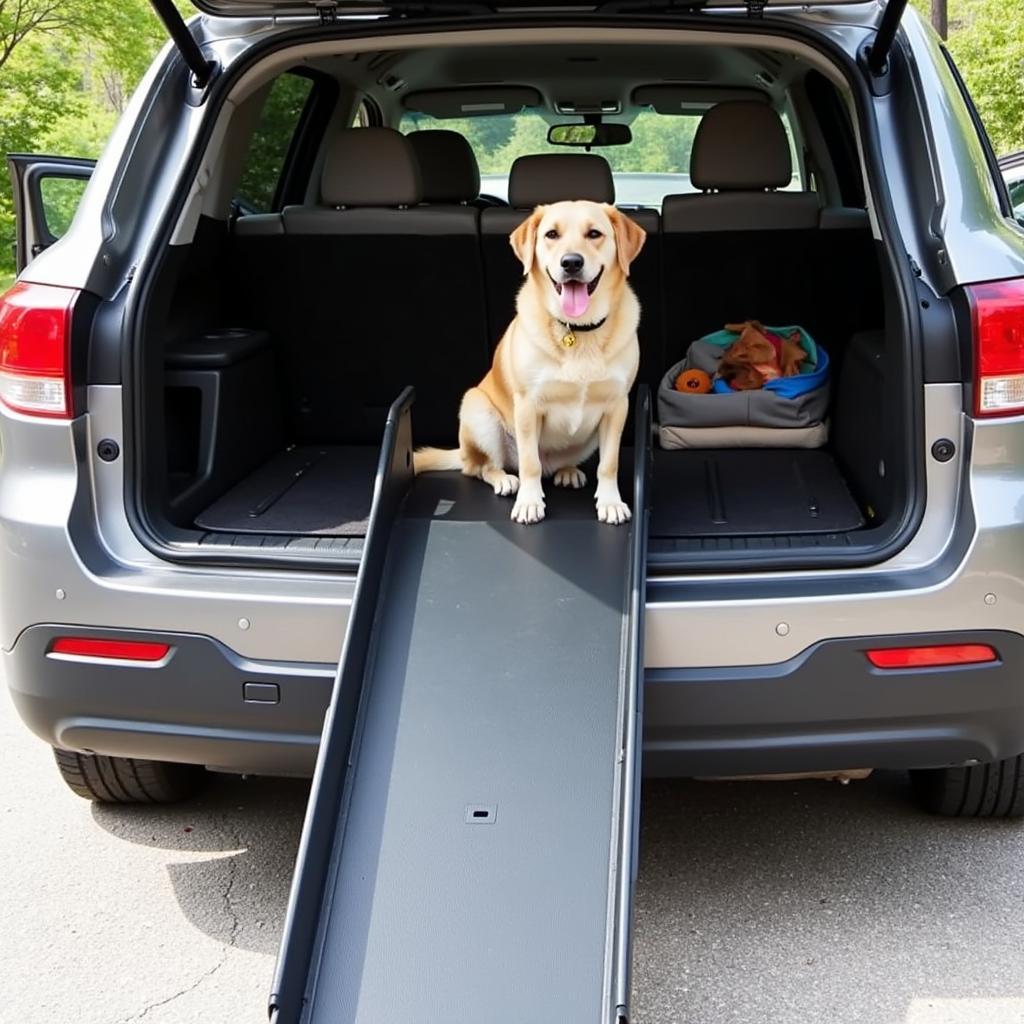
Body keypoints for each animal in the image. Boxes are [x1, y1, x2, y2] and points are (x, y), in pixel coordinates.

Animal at [413, 198, 638, 524]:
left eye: (594, 234)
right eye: (551, 234)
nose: (571, 262)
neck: (577, 330)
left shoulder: (616, 406)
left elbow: (609, 464)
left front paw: (610, 502)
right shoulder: (528, 406)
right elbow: (530, 463)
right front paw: (530, 502)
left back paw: (567, 471)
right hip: (478, 411)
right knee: (481, 468)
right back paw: (504, 479)